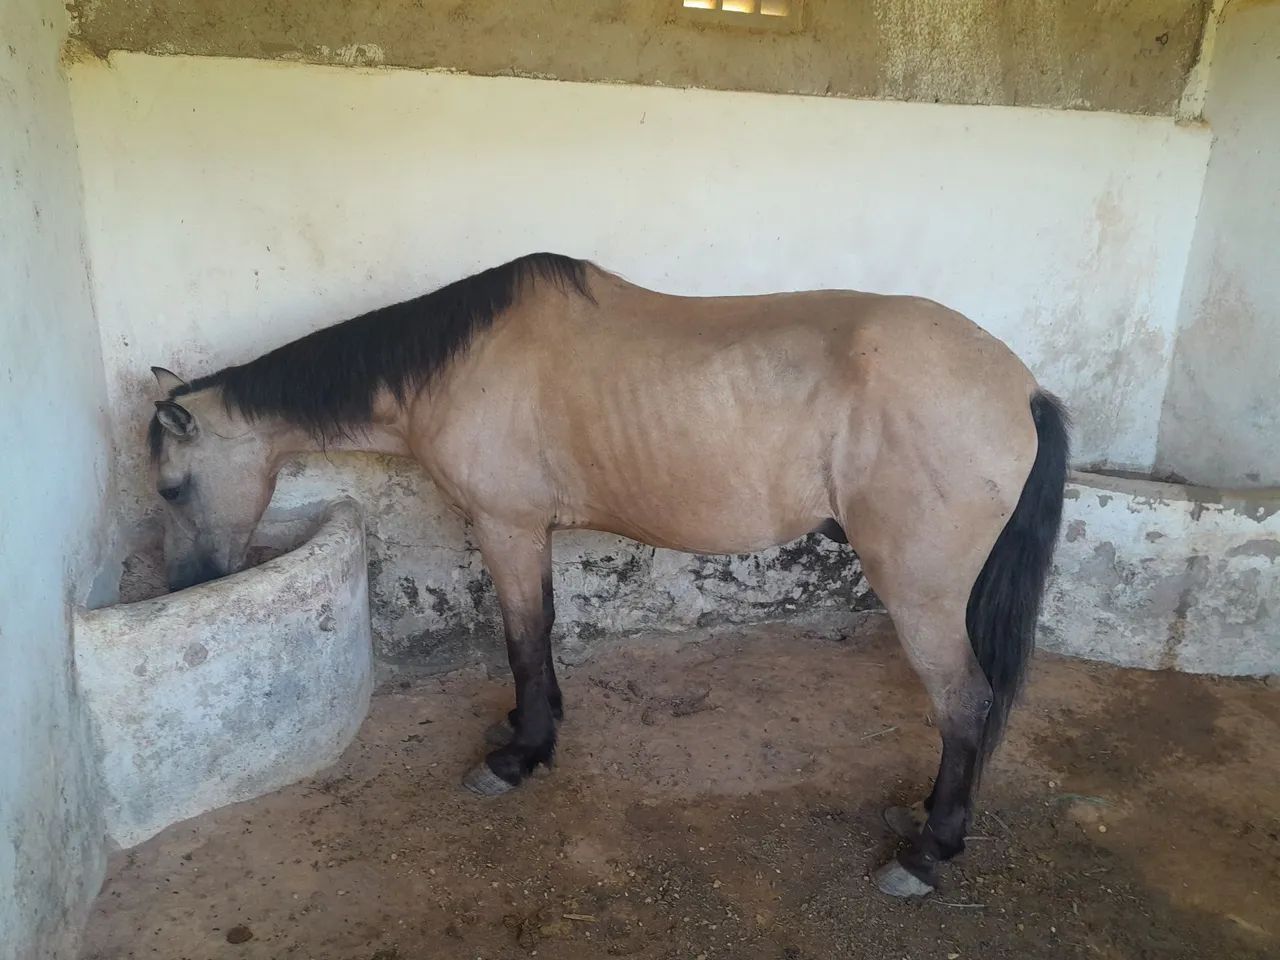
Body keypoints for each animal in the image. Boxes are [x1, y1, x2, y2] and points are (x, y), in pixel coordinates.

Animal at [146, 252, 1068, 897]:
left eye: (169, 485)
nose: (183, 585)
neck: (458, 363)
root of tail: (1023, 387)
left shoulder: (507, 526)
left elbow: (522, 637)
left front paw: (517, 755)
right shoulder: (532, 533)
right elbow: (543, 631)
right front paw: (538, 728)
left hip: (920, 594)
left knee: (965, 702)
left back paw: (928, 852)